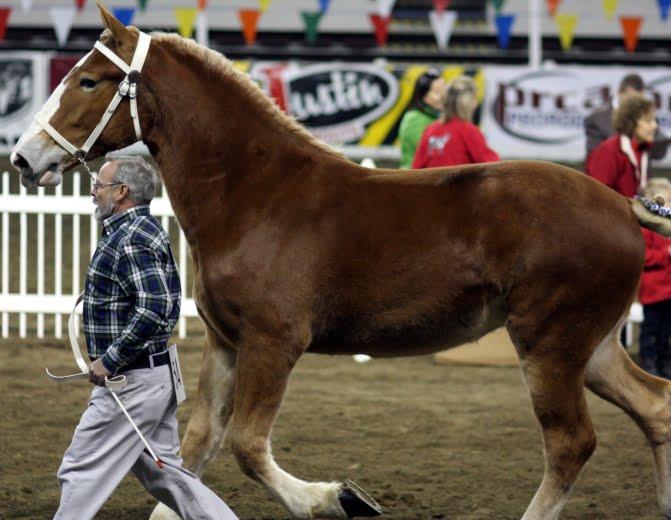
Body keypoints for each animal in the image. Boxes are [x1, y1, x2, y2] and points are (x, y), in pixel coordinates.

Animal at [11, 5, 671, 519]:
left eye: (90, 80)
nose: (22, 157)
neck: (257, 194)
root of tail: (622, 205)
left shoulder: (274, 342)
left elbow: (249, 446)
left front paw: (339, 498)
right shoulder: (226, 342)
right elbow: (196, 447)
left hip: (550, 346)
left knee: (570, 443)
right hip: (593, 347)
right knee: (656, 407)